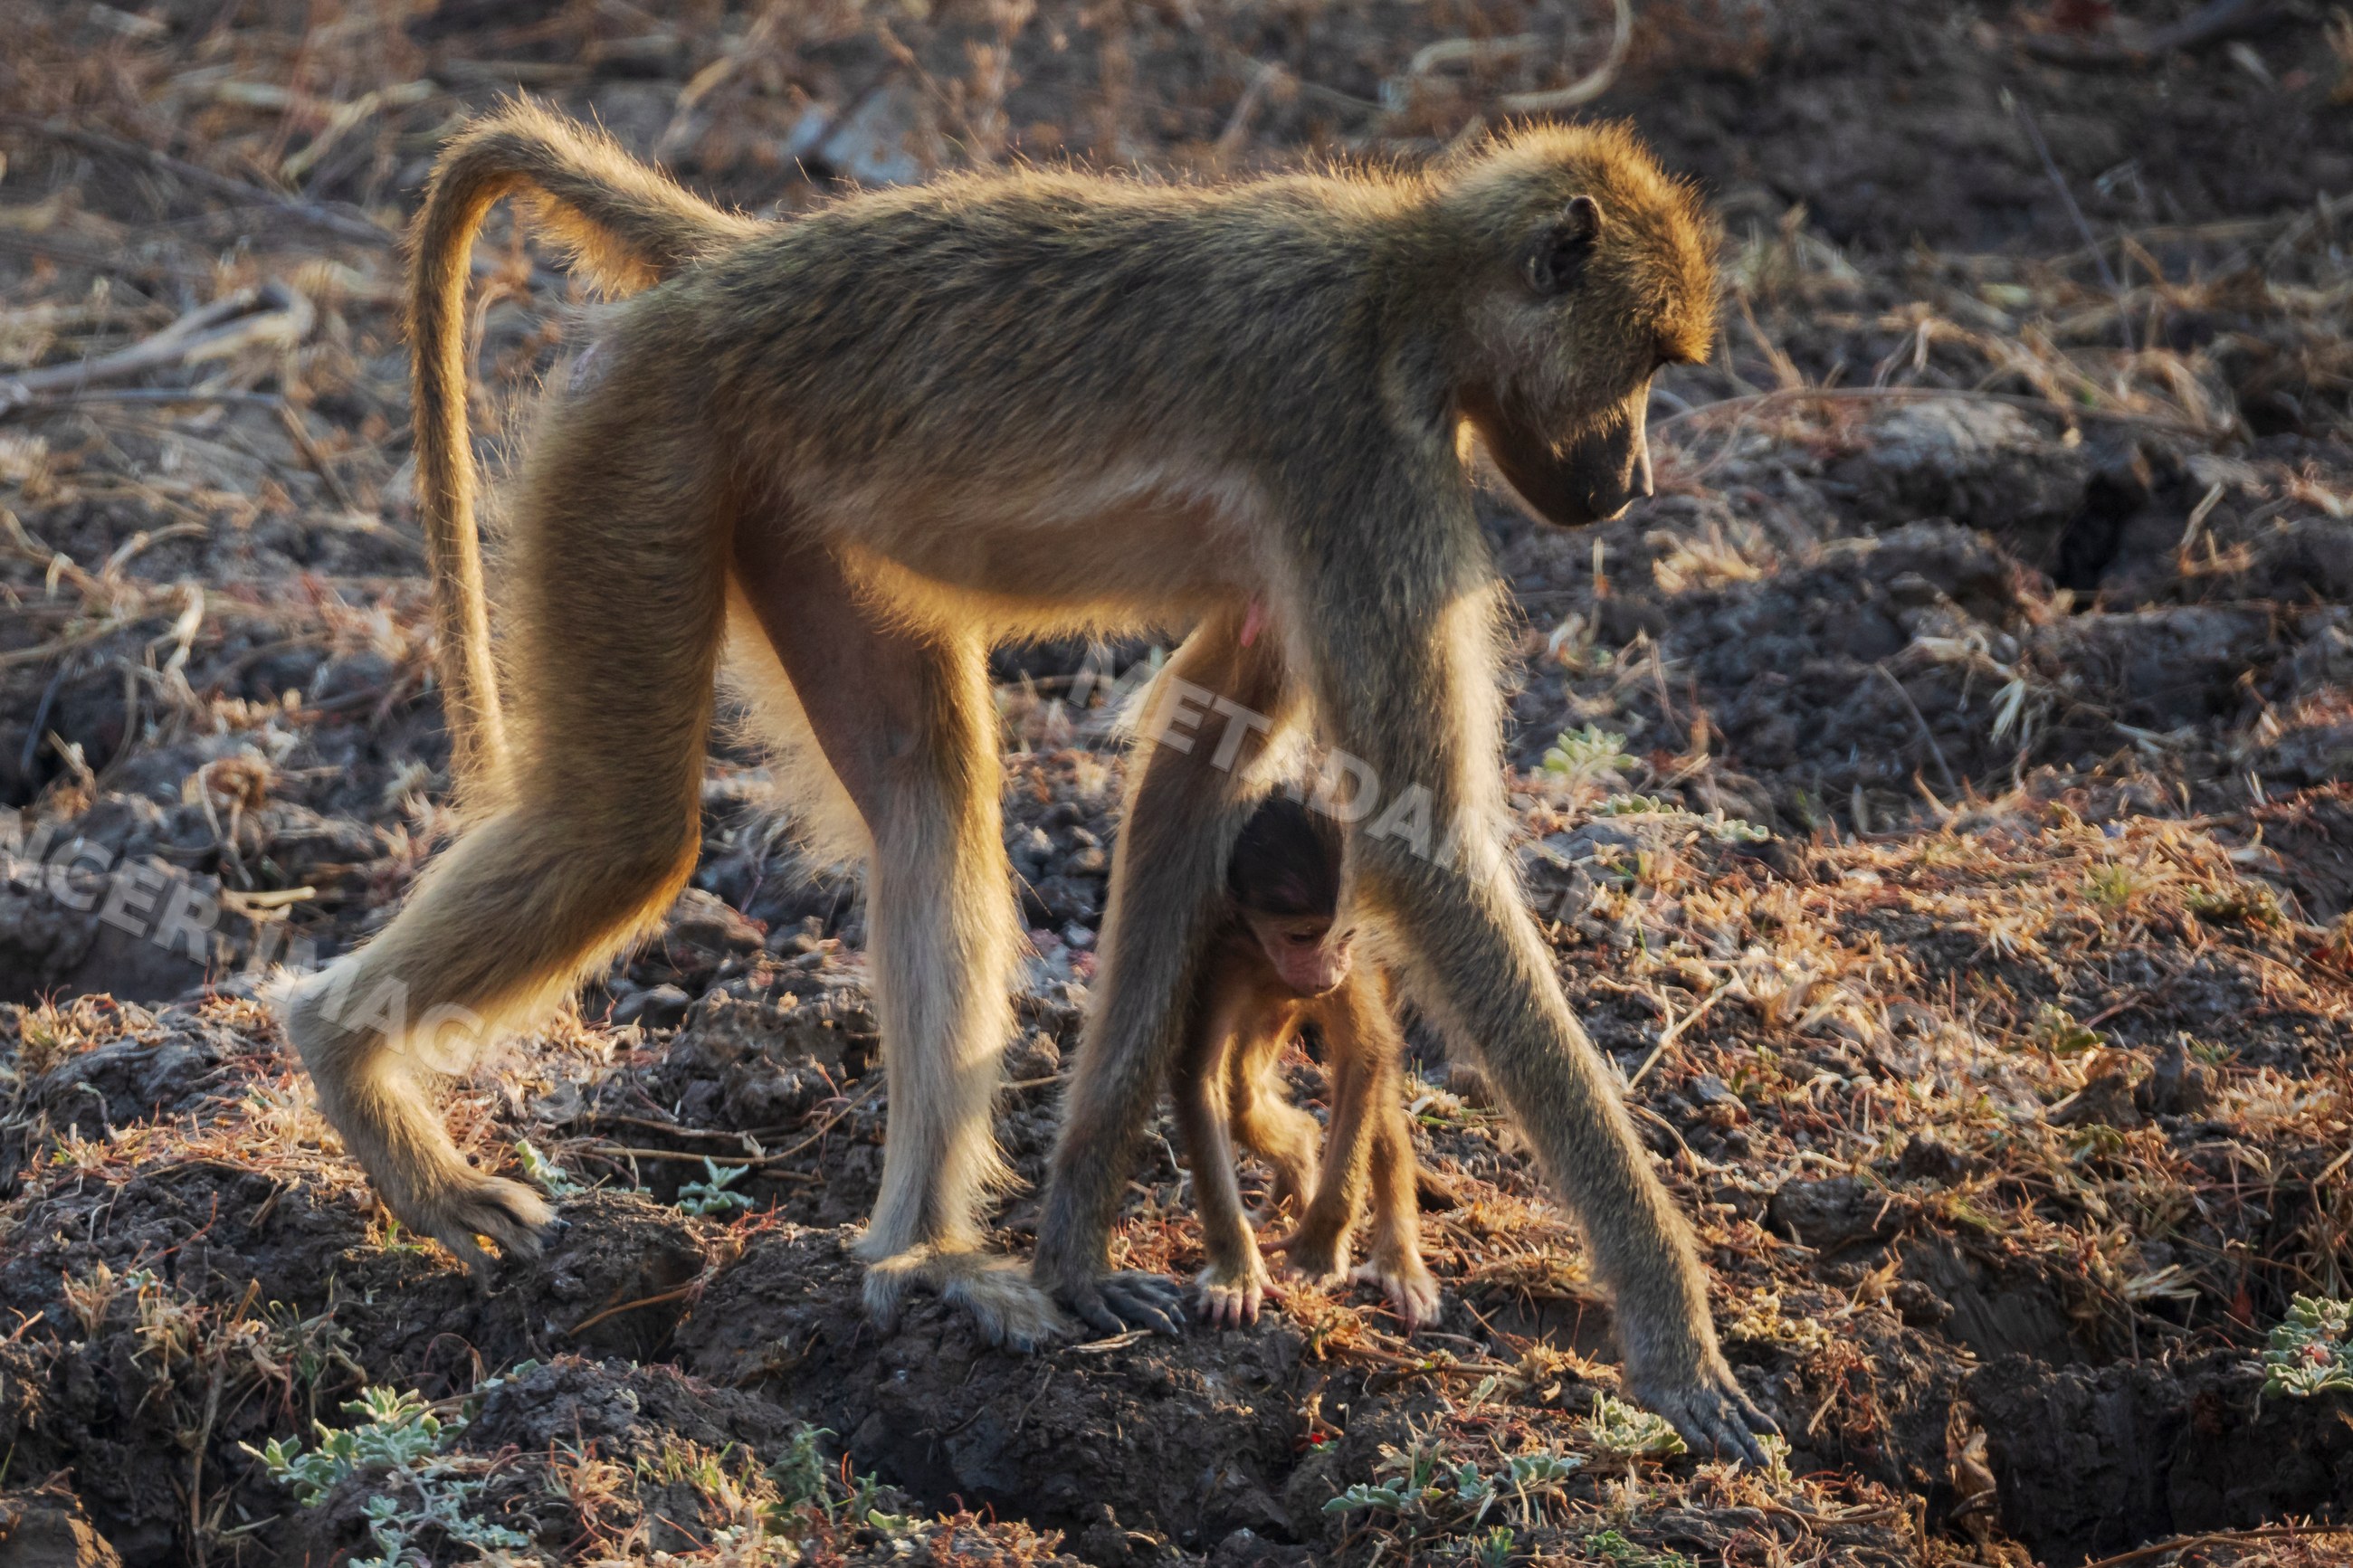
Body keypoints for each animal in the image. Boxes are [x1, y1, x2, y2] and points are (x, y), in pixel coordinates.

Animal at [1171, 794, 1440, 1331]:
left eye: (1342, 934)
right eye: (1301, 937)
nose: (1326, 972)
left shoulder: (1356, 961)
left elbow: (1365, 1056)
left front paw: (1319, 1249)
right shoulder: (1221, 953)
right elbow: (1200, 1077)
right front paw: (1235, 1270)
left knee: (1376, 1097)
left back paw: (1398, 1261)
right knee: (1242, 1092)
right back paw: (1297, 1156)